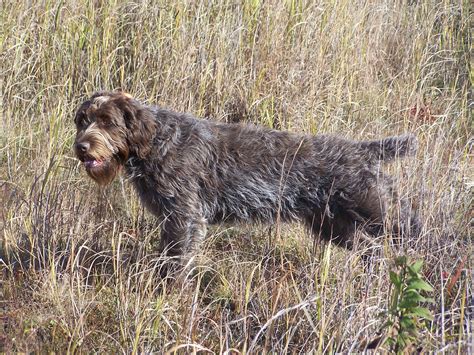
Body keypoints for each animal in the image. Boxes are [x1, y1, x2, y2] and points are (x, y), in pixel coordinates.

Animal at [73, 90, 418, 268]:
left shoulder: (185, 218)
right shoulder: (174, 219)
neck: (156, 142)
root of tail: (362, 150)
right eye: (82, 120)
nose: (81, 147)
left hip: (379, 212)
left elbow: (176, 261)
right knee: (371, 249)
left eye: (108, 121)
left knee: (415, 228)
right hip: (335, 226)